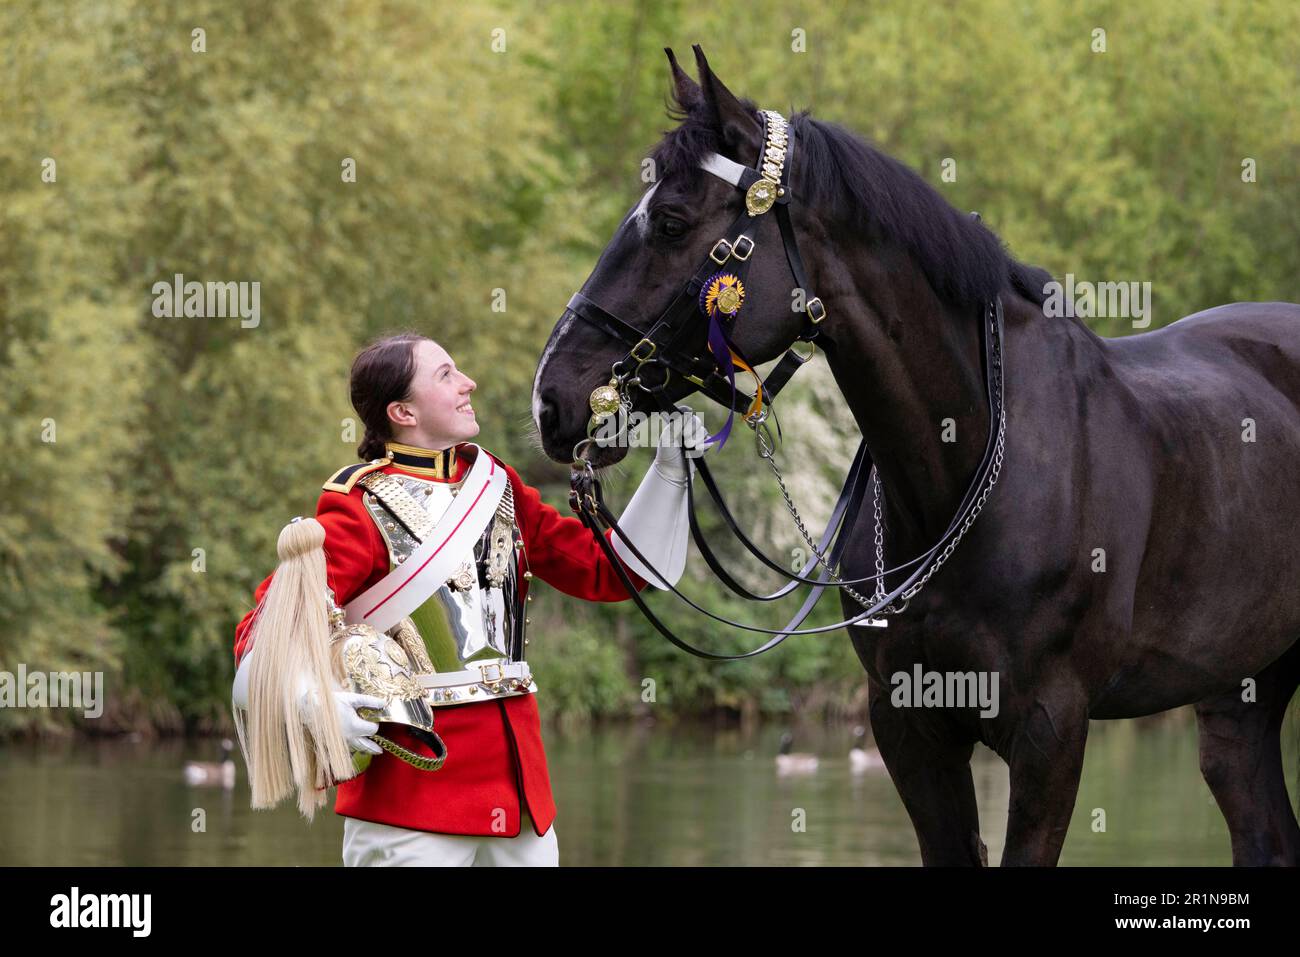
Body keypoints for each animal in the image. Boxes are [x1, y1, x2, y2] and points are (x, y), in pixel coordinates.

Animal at [530, 46, 1300, 868]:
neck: (966, 473)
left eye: (671, 222)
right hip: (1238, 694)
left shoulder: (1051, 730)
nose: (553, 399)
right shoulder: (908, 725)